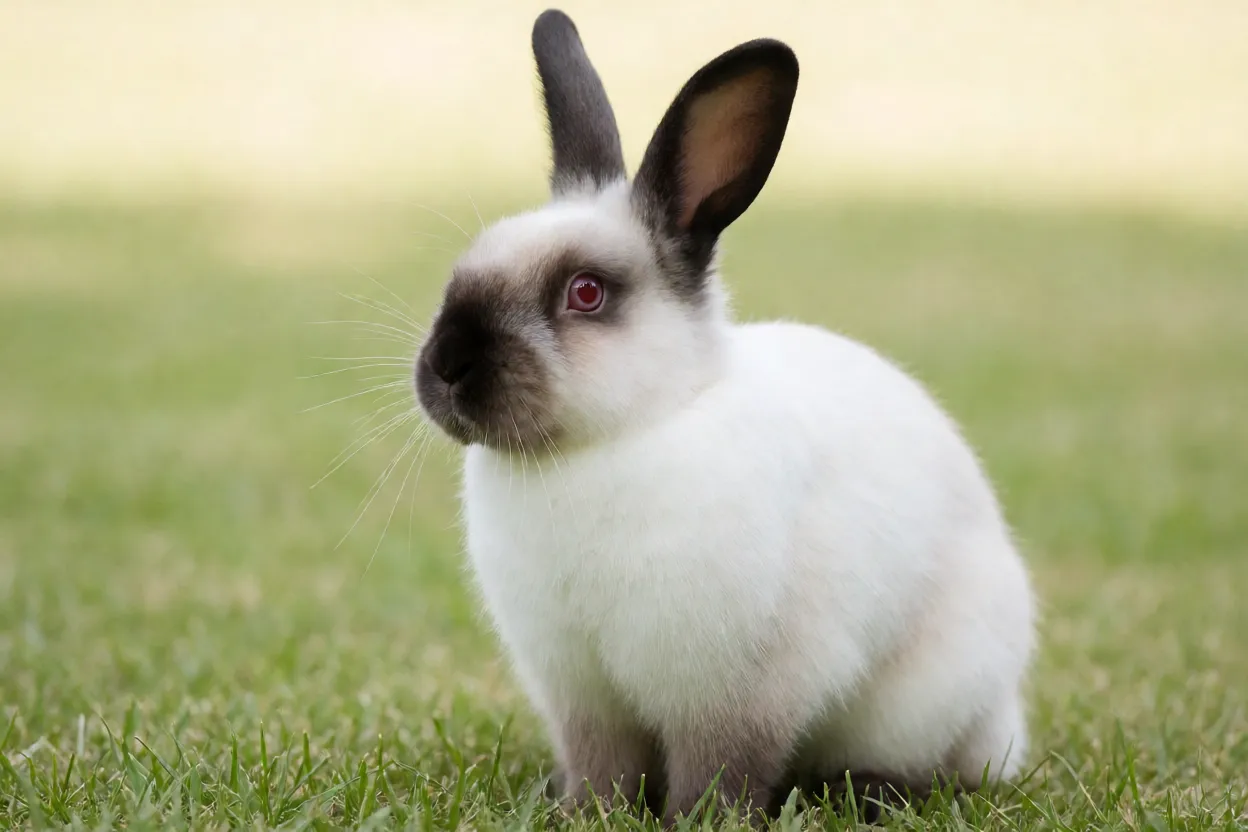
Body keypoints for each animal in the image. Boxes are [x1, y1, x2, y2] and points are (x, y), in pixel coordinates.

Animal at [412, 8, 1035, 823]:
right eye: (465, 268)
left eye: (586, 293)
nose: (446, 363)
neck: (617, 437)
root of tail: (1006, 717)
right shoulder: (580, 691)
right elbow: (601, 766)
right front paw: (585, 813)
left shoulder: (740, 688)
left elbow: (722, 768)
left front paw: (700, 821)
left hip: (926, 700)